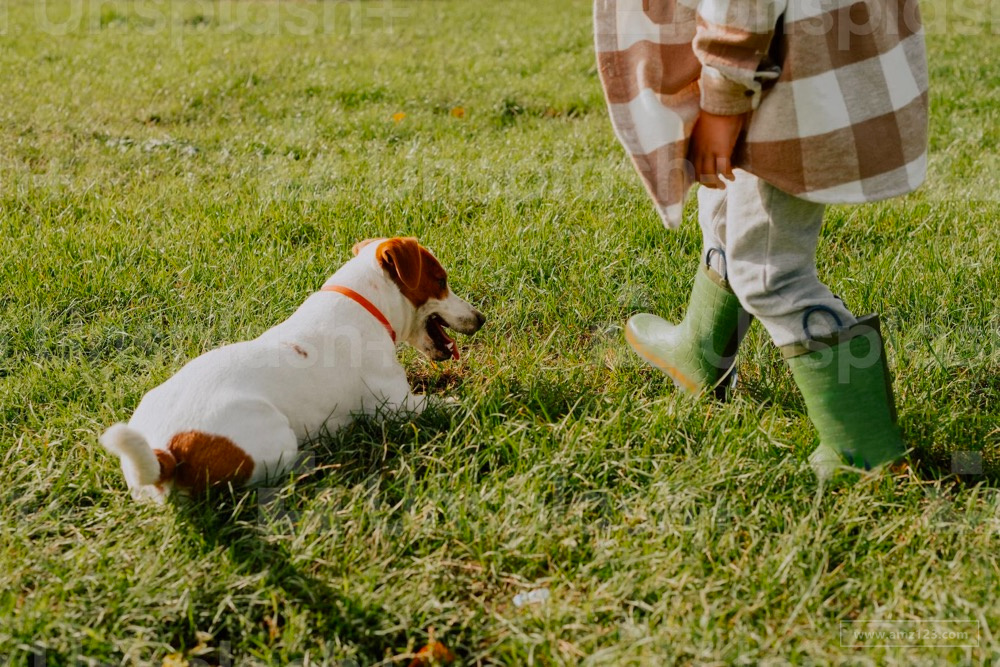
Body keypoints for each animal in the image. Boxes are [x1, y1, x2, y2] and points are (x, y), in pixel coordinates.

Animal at [98, 237, 484, 504]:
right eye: (441, 281)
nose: (481, 318)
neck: (363, 304)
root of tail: (165, 451)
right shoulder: (397, 407)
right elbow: (453, 406)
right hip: (277, 438)